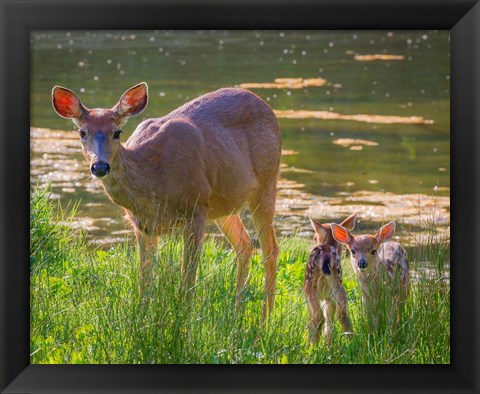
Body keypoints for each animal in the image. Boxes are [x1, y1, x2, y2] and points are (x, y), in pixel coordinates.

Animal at [51, 83, 282, 318]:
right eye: (82, 132)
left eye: (117, 132)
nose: (99, 166)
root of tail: (266, 106)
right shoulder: (142, 225)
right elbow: (145, 281)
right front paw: (142, 317)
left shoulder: (195, 210)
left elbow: (187, 278)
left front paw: (184, 320)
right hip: (224, 205)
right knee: (244, 245)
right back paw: (236, 314)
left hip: (266, 181)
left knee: (270, 249)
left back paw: (266, 318)